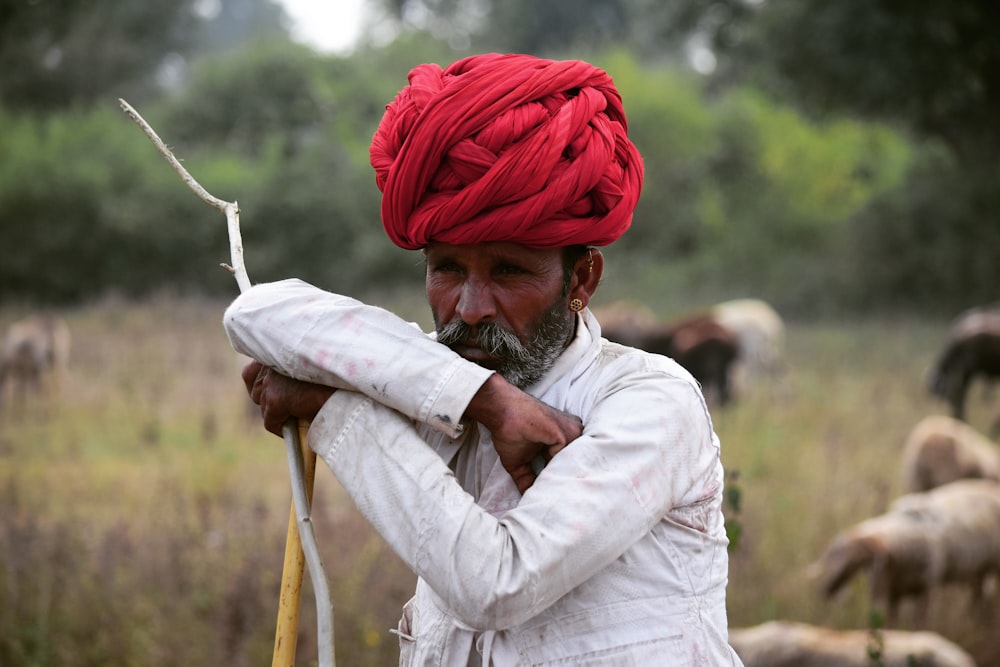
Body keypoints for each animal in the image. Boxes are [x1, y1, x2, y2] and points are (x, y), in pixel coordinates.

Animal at [808, 480, 1000, 628]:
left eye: (845, 556)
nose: (826, 589)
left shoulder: (928, 589)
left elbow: (921, 626)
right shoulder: (893, 593)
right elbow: (889, 626)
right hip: (979, 572)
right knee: (978, 598)